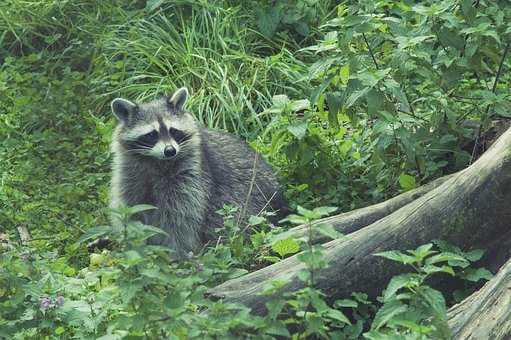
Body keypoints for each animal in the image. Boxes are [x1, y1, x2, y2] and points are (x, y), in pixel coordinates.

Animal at [109, 87, 286, 258]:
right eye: (152, 134)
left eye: (173, 131)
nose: (170, 151)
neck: (157, 162)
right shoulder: (130, 175)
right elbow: (132, 212)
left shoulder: (192, 176)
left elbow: (181, 219)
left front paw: (177, 253)